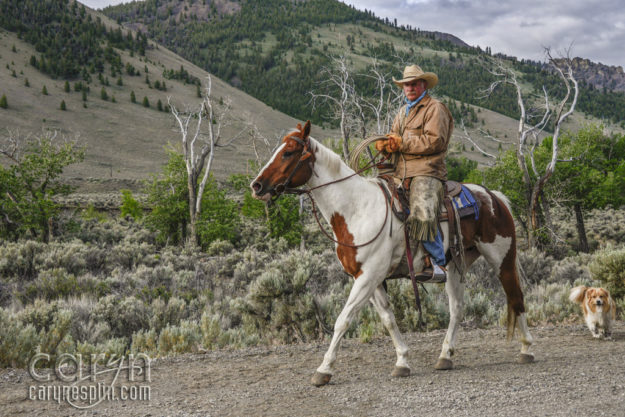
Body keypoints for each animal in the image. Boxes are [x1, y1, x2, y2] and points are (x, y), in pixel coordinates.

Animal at [249, 121, 532, 386]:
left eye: (288, 152)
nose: (257, 185)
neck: (356, 209)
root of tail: (494, 197)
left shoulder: (368, 277)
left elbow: (343, 319)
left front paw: (324, 370)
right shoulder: (368, 279)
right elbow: (388, 318)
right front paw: (403, 361)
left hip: (502, 259)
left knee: (515, 297)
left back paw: (526, 349)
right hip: (456, 266)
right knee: (457, 308)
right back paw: (445, 356)